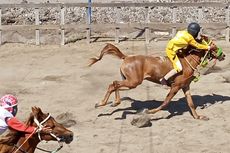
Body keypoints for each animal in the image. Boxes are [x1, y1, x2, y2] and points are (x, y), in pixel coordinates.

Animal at [89, 41, 226, 120]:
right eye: (214, 47)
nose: (224, 55)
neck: (187, 62)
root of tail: (126, 57)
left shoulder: (185, 86)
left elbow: (191, 103)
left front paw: (198, 117)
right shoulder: (176, 86)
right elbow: (166, 102)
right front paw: (150, 111)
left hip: (131, 82)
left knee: (114, 84)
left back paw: (111, 103)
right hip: (134, 82)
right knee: (114, 84)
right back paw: (105, 103)